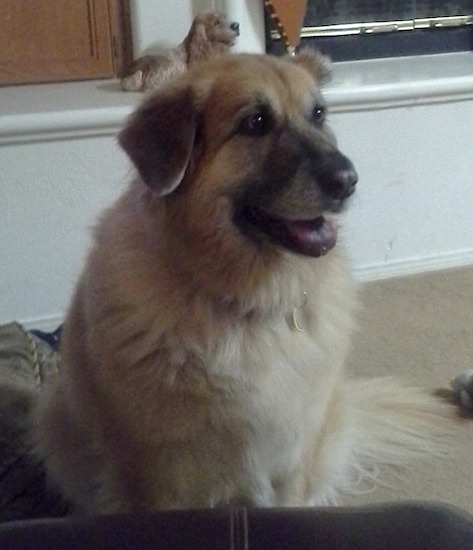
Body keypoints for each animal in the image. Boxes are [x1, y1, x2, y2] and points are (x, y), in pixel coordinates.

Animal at [38, 49, 456, 516]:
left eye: (318, 114)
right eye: (255, 122)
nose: (348, 180)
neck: (247, 301)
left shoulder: (290, 463)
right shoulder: (160, 479)